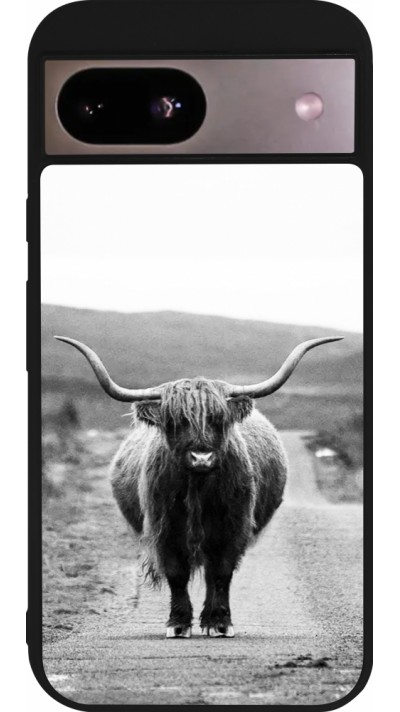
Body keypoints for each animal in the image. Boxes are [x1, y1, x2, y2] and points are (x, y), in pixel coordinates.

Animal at [55, 334, 342, 638]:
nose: (201, 457)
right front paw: (178, 623)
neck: (198, 488)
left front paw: (219, 622)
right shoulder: (164, 529)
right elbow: (176, 574)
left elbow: (221, 573)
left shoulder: (233, 527)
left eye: (218, 419)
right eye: (175, 421)